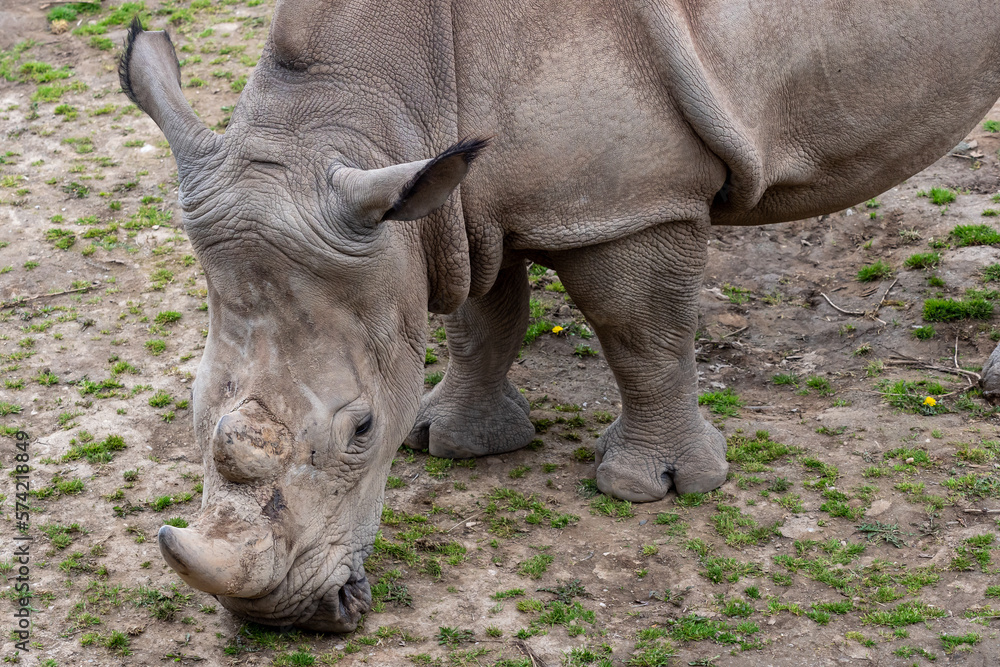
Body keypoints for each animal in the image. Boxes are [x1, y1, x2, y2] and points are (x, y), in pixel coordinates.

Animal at [120, 0, 1000, 631]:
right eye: (193, 412)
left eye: (362, 429)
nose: (281, 620)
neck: (374, 100)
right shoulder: (452, 197)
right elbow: (482, 316)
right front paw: (452, 441)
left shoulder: (630, 200)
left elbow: (639, 332)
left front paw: (655, 488)